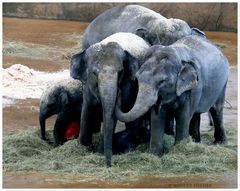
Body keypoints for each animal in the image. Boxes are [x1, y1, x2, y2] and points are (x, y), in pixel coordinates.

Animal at [69, 32, 149, 166]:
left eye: (120, 72)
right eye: (94, 73)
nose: (109, 165)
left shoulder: (126, 83)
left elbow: (112, 116)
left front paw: (99, 152)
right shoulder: (87, 86)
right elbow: (87, 109)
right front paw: (83, 148)